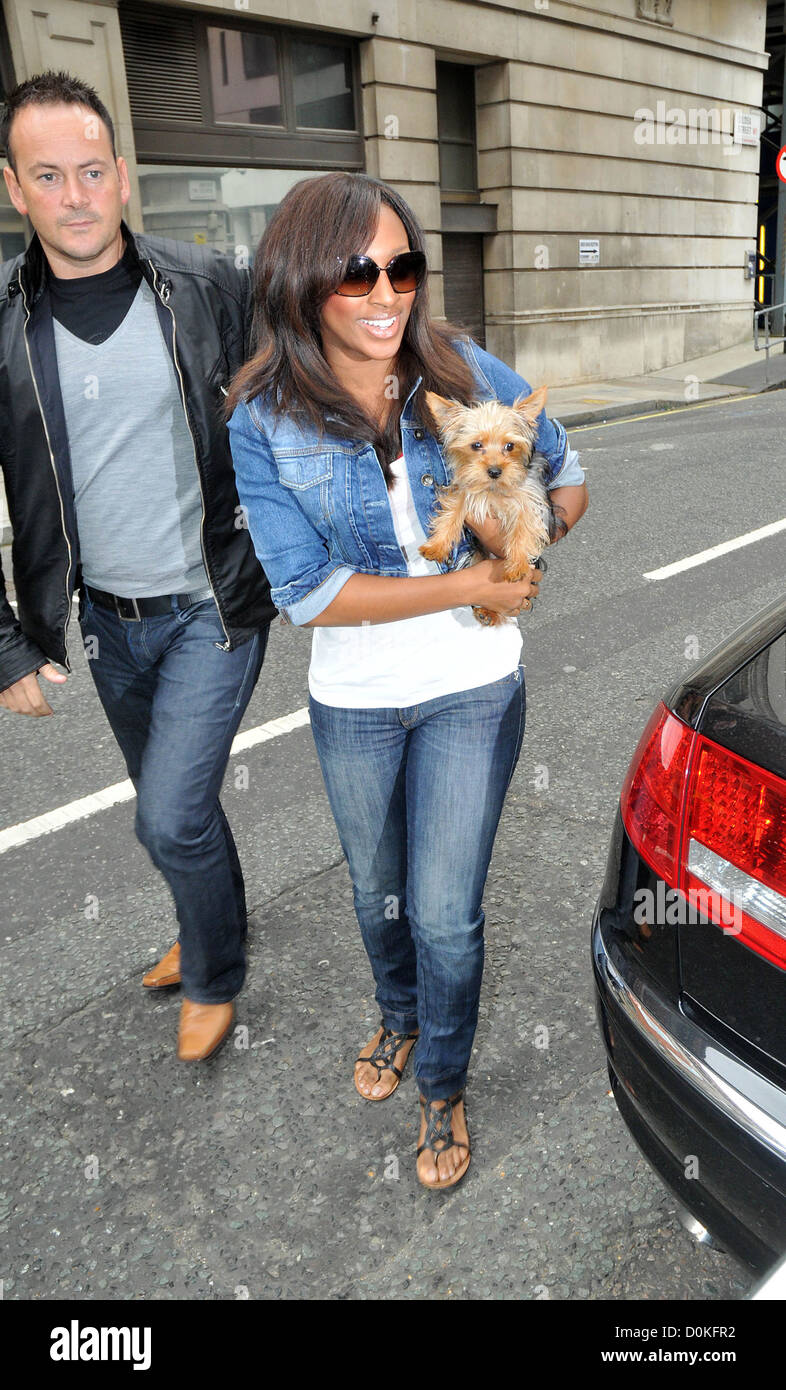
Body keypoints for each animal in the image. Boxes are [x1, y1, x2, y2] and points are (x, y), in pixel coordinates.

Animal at [420, 391, 553, 631]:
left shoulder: (529, 500)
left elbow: (523, 529)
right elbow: (451, 514)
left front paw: (517, 566)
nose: (494, 471)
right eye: (476, 445)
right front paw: (436, 546)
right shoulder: (463, 491)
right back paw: (486, 611)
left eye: (510, 446)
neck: (492, 489)